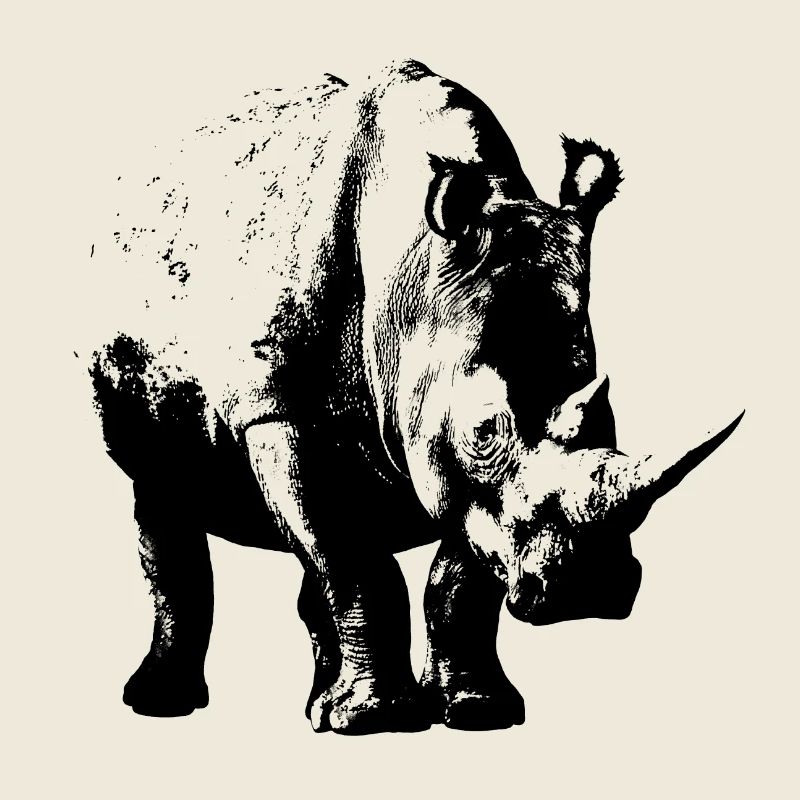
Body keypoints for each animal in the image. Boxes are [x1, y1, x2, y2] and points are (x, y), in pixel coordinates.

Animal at [88, 59, 742, 734]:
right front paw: (372, 722)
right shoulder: (275, 410)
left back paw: (316, 707)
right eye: (484, 432)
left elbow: (457, 576)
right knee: (161, 488)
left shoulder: (447, 451)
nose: (589, 588)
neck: (412, 276)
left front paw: (479, 713)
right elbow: (353, 561)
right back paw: (164, 704)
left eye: (609, 412)